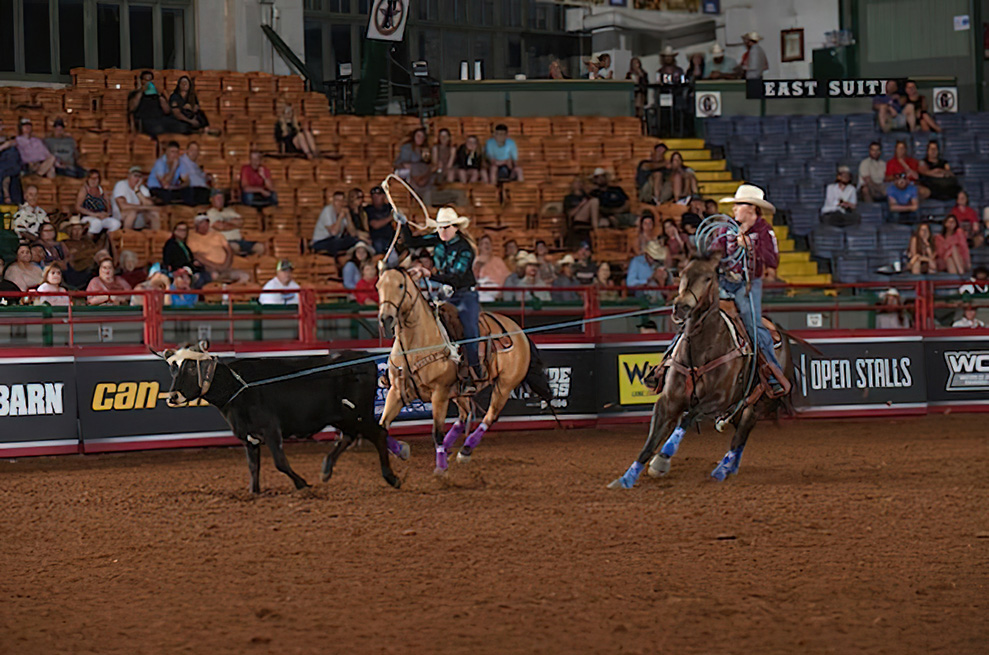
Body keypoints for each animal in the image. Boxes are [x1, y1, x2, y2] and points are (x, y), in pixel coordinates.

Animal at [376, 270, 552, 474]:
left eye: (400, 286)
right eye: (378, 286)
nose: (386, 318)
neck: (418, 344)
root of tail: (519, 331)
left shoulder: (439, 393)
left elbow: (437, 433)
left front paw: (441, 468)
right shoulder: (397, 391)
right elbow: (381, 426)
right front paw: (403, 450)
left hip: (505, 385)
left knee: (490, 416)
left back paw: (465, 450)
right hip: (460, 392)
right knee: (464, 416)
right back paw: (449, 448)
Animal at [604, 254, 792, 490]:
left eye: (708, 278)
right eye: (682, 274)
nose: (681, 308)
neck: (703, 347)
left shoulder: (718, 399)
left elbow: (687, 417)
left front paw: (661, 460)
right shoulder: (669, 400)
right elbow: (651, 440)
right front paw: (626, 479)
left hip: (760, 401)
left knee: (741, 434)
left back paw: (721, 470)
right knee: (739, 432)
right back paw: (729, 467)